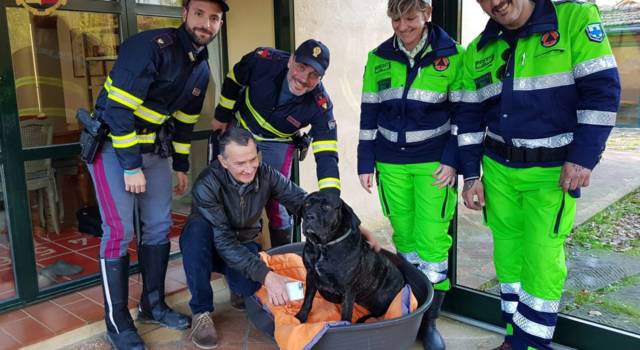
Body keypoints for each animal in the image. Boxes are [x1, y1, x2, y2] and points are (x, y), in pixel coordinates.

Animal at [296, 191, 404, 322]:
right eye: (307, 204)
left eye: (326, 207)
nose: (309, 216)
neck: (324, 246)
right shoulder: (311, 275)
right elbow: (307, 300)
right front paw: (300, 317)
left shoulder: (348, 290)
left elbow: (346, 315)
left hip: (380, 300)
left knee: (378, 314)